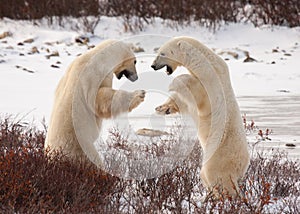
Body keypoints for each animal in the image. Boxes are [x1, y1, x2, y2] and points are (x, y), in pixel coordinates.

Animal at [44, 39, 146, 167]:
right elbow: (102, 98)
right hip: (80, 148)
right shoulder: (94, 76)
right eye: (135, 61)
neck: (100, 57)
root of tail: (53, 156)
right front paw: (139, 94)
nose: (136, 77)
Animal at [151, 36, 250, 197]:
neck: (207, 64)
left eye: (162, 53)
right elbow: (183, 101)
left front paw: (173, 84)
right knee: (205, 177)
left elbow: (200, 97)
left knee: (216, 176)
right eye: (158, 51)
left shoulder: (211, 82)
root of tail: (241, 168)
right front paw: (162, 108)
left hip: (219, 157)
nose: (153, 65)